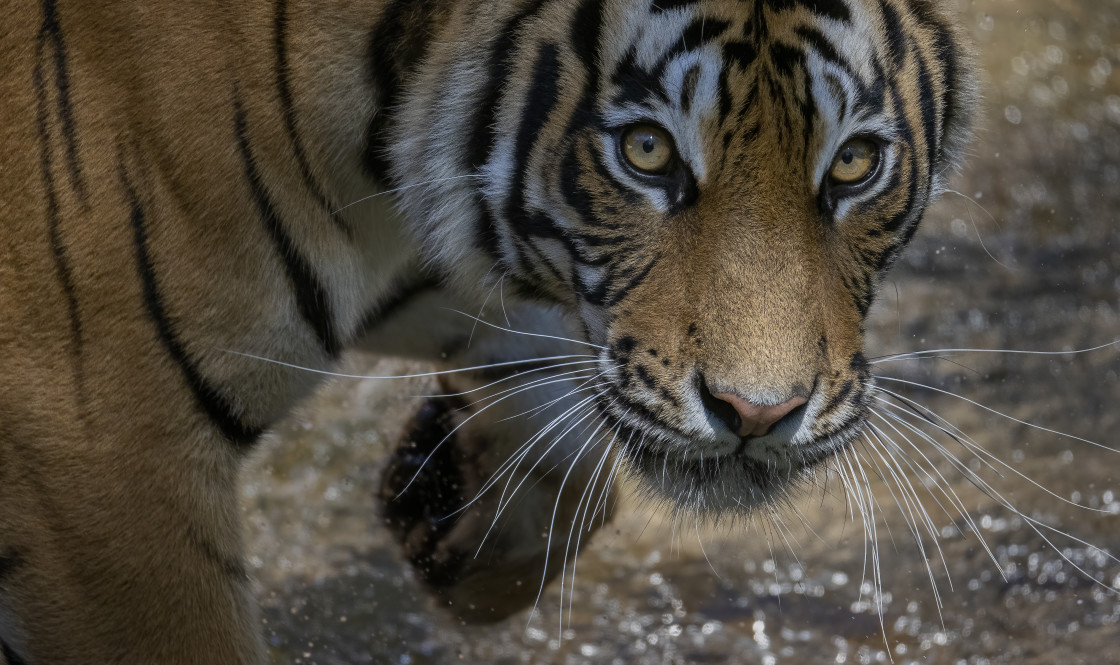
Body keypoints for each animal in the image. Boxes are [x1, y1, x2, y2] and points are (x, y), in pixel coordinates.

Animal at [0, 0, 976, 658]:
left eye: (853, 162)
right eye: (647, 151)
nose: (759, 416)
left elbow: (569, 452)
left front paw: (437, 506)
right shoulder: (108, 451)